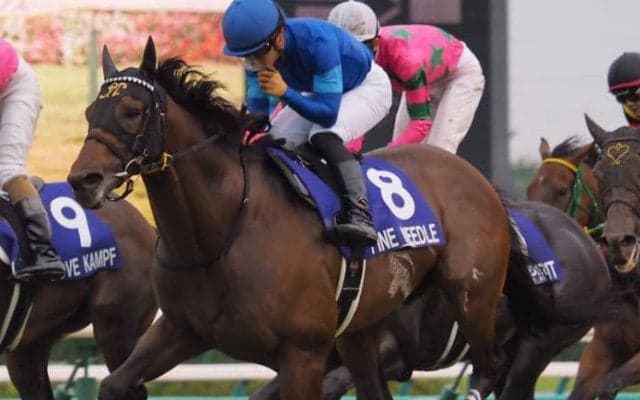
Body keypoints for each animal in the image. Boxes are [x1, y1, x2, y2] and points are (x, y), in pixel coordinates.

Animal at [66, 38, 511, 400]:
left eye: (132, 110)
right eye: (89, 111)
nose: (83, 180)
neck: (221, 231)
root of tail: (477, 178)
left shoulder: (303, 354)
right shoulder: (182, 329)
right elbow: (115, 384)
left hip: (473, 296)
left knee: (489, 370)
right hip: (361, 332)